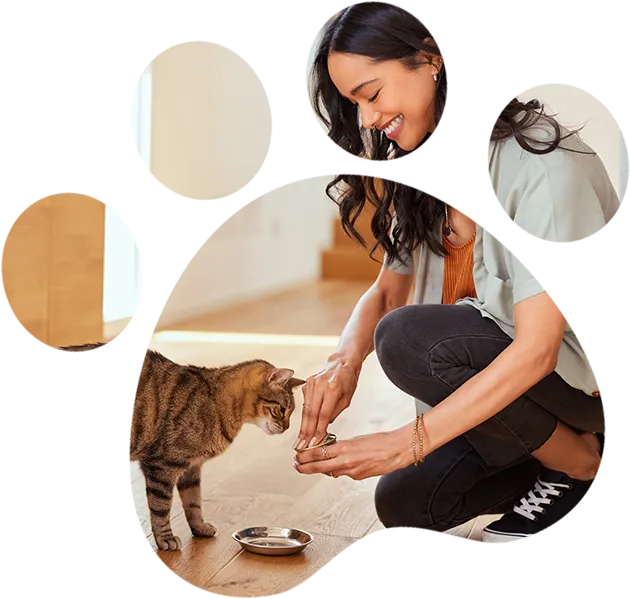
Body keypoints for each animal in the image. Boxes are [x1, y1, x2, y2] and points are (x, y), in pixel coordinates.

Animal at [127, 352, 304, 552]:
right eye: (281, 409)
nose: (287, 428)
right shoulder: (163, 465)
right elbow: (161, 507)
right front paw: (165, 538)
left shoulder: (192, 468)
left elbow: (194, 502)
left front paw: (200, 528)